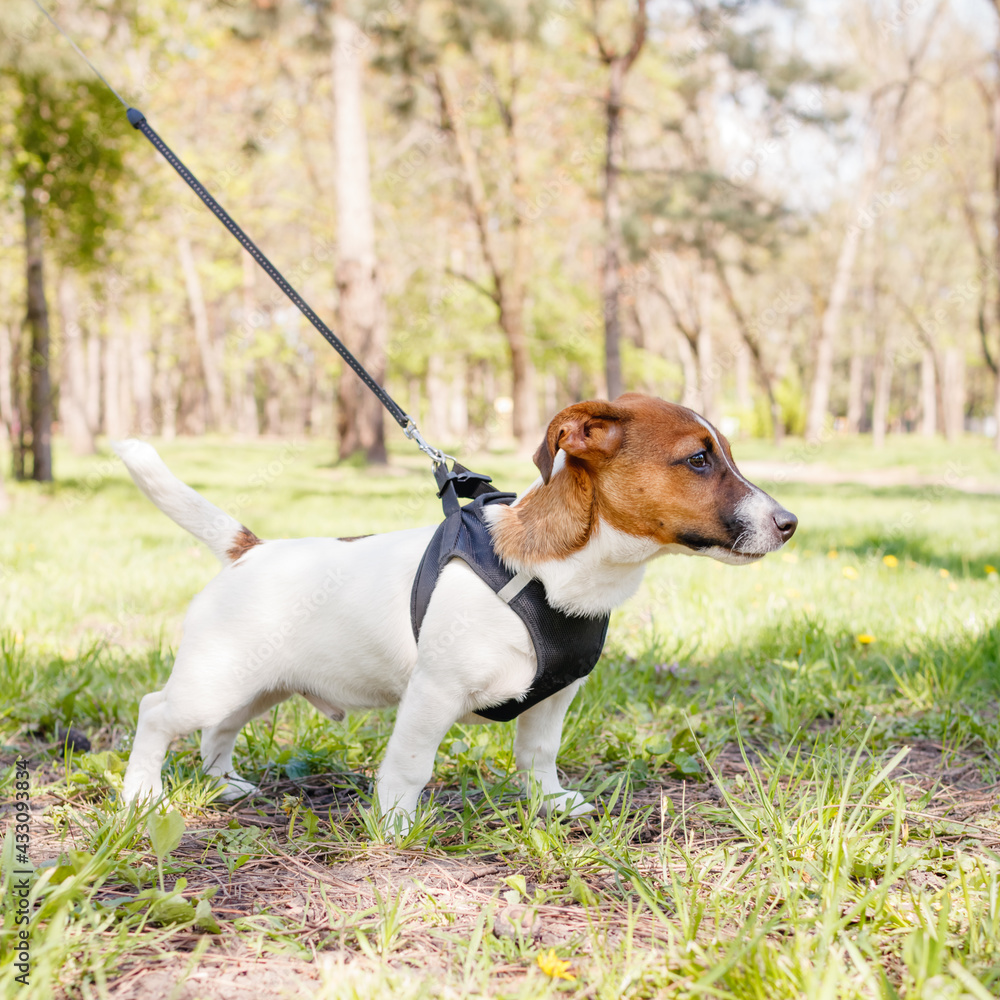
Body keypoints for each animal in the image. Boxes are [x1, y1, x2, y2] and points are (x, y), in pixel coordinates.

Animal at [113, 394, 796, 824]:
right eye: (698, 459)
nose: (789, 524)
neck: (554, 574)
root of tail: (248, 551)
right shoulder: (433, 693)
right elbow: (409, 767)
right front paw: (393, 827)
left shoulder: (556, 695)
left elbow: (538, 756)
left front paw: (548, 803)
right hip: (214, 680)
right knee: (157, 713)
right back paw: (142, 795)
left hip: (259, 686)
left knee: (219, 730)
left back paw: (222, 784)